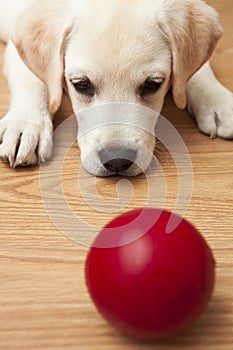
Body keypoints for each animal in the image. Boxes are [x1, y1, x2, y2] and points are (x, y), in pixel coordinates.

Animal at [0, 0, 233, 175]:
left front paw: (218, 101)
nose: (118, 160)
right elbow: (32, 79)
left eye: (153, 84)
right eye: (81, 84)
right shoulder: (15, 42)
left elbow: (199, 69)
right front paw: (26, 125)